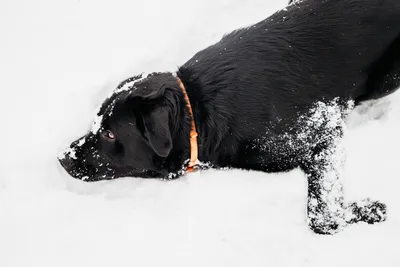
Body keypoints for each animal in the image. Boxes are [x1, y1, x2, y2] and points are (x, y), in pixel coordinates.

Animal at [58, 0, 400, 234]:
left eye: (110, 133)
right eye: (96, 123)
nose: (63, 158)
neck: (197, 111)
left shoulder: (322, 132)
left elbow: (320, 216)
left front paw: (365, 211)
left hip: (388, 77)